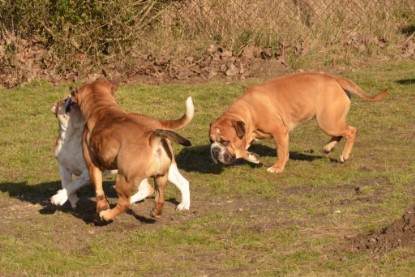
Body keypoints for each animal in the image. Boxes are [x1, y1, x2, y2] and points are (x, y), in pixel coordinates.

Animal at [67, 79, 193, 220]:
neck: (101, 107)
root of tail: (152, 138)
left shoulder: (92, 166)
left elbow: (99, 191)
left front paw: (102, 207)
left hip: (124, 180)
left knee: (124, 202)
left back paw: (107, 214)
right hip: (163, 175)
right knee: (164, 196)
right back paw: (165, 209)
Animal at [210, 71, 388, 172]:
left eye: (225, 141)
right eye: (211, 141)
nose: (214, 150)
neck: (248, 111)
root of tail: (335, 78)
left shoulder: (280, 132)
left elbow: (281, 152)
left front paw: (277, 168)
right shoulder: (246, 136)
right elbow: (241, 152)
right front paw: (253, 157)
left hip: (327, 121)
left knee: (351, 131)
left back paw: (344, 155)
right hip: (331, 120)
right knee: (341, 132)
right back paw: (328, 147)